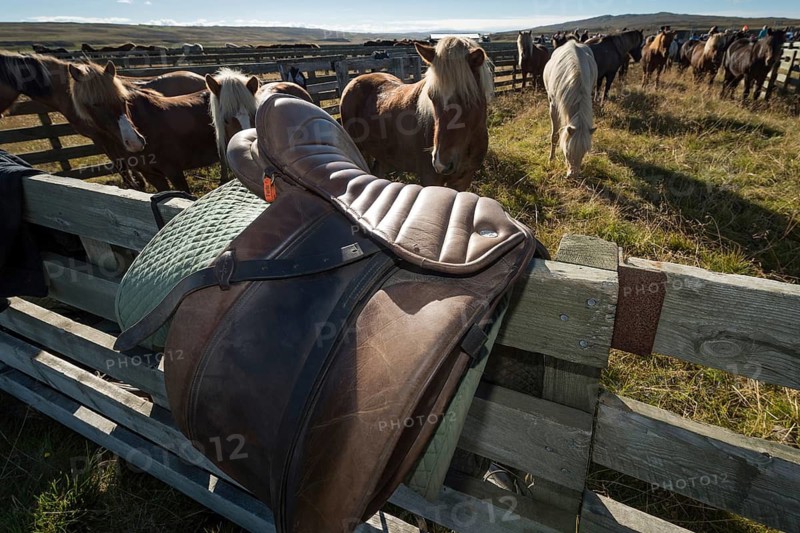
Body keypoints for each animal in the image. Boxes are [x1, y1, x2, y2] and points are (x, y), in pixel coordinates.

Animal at [340, 36, 493, 191]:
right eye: (431, 97)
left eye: (467, 97)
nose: (441, 164)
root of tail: (354, 80)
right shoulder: (430, 178)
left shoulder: (463, 180)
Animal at [543, 40, 597, 178]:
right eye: (566, 151)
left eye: (584, 153)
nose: (573, 175)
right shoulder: (553, 107)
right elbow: (555, 136)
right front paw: (551, 159)